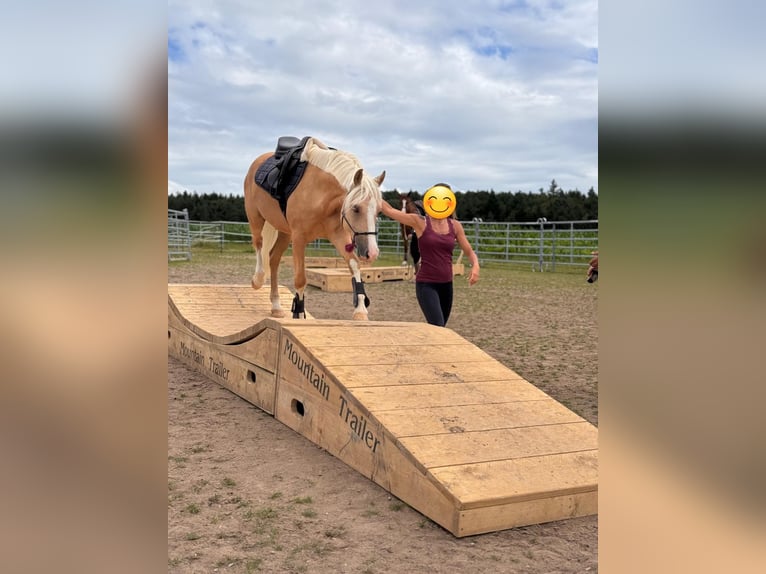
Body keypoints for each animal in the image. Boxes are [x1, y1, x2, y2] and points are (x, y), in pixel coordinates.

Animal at [246, 138, 388, 322]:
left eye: (378, 210)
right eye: (356, 208)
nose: (372, 252)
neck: (321, 194)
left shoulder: (338, 235)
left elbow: (354, 265)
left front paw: (360, 310)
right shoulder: (299, 238)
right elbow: (300, 279)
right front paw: (299, 314)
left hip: (284, 233)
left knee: (273, 259)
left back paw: (276, 307)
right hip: (256, 219)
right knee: (259, 245)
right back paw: (258, 279)